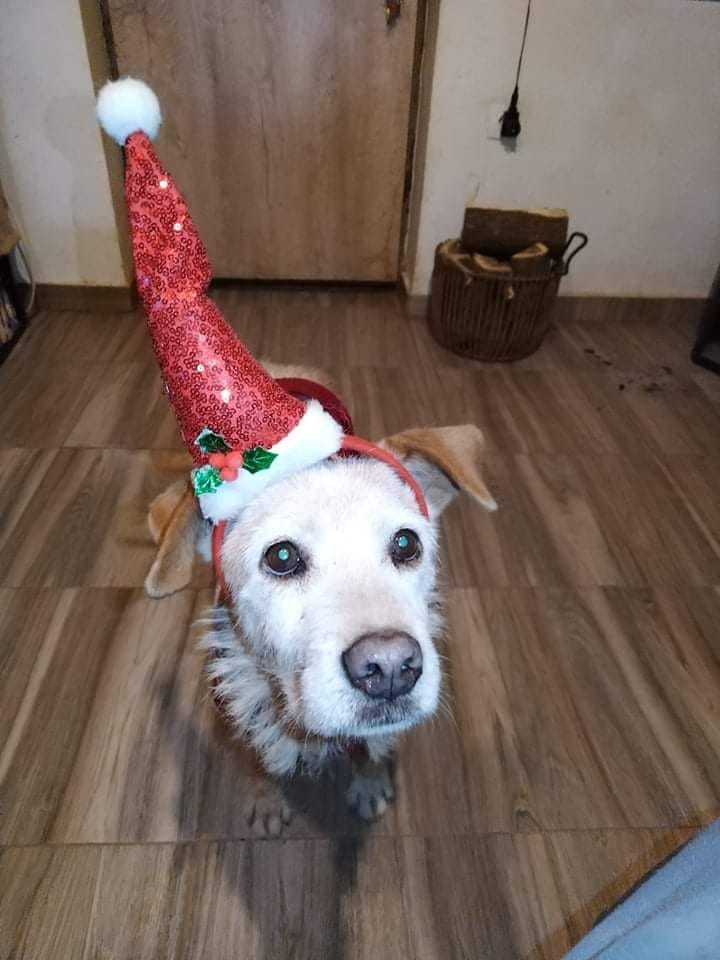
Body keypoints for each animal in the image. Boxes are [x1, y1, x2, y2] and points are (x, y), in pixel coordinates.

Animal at [145, 363, 496, 835]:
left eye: (406, 543)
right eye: (281, 556)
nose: (390, 667)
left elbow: (370, 749)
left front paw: (369, 782)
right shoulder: (239, 710)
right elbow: (258, 755)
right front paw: (267, 799)